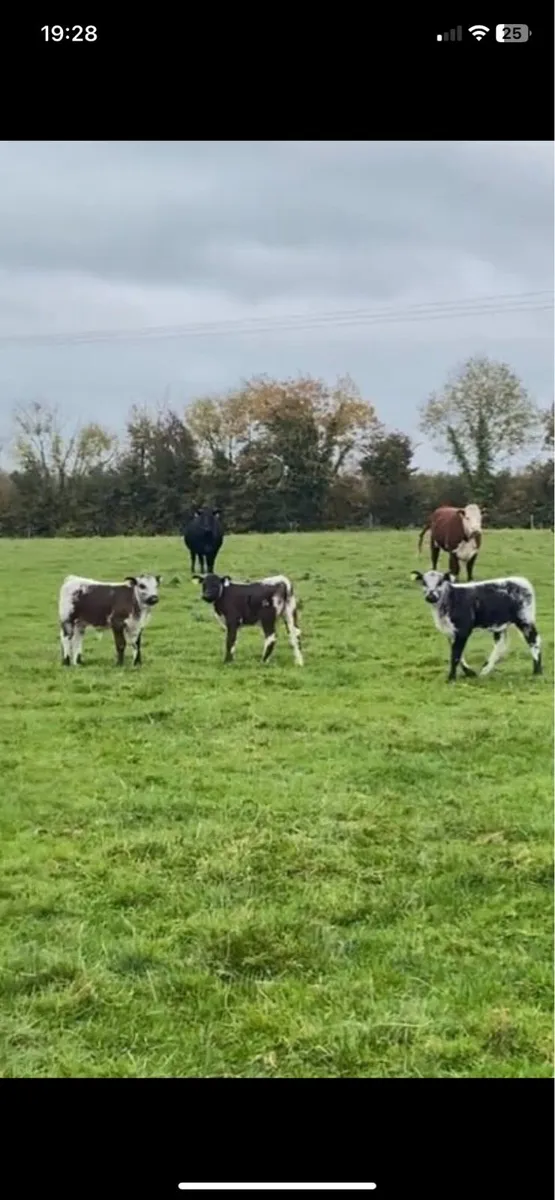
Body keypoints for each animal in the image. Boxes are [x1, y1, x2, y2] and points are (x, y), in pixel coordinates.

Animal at [410, 569, 542, 682]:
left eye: (440, 582)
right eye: (424, 582)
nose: (430, 597)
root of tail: (520, 580)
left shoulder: (463, 629)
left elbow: (455, 654)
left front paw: (451, 678)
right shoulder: (450, 632)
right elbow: (457, 653)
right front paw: (469, 673)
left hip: (525, 619)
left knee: (534, 641)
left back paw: (537, 672)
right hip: (499, 624)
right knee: (500, 644)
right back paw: (485, 669)